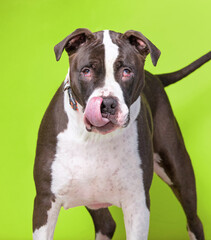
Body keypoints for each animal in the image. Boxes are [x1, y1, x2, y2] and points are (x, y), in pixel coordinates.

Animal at [32, 27, 210, 238]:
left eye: (127, 71)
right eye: (86, 71)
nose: (107, 104)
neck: (93, 138)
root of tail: (155, 77)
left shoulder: (137, 203)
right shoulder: (45, 202)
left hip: (178, 167)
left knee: (194, 221)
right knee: (106, 223)